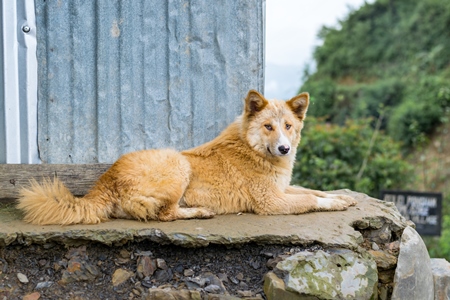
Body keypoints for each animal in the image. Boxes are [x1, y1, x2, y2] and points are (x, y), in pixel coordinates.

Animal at [16, 90, 356, 224]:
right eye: (268, 127)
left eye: (288, 126)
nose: (284, 148)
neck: (252, 148)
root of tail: (106, 178)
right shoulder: (270, 201)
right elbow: (310, 200)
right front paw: (335, 204)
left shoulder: (283, 188)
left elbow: (315, 190)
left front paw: (343, 198)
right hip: (177, 165)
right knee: (163, 214)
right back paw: (199, 212)